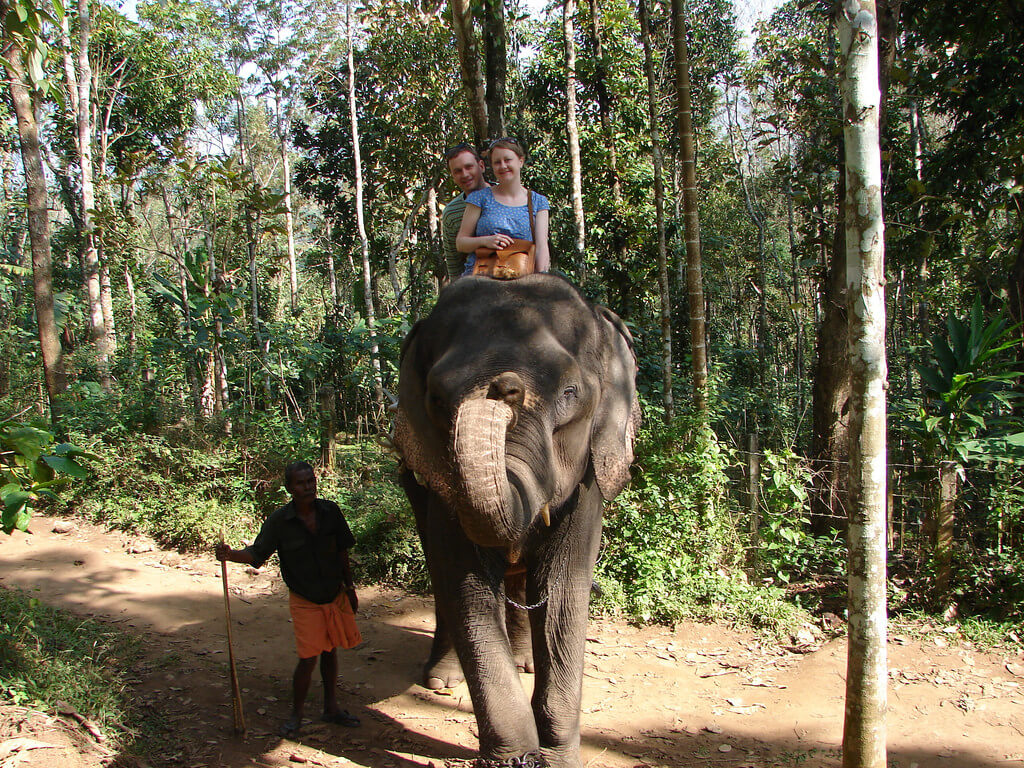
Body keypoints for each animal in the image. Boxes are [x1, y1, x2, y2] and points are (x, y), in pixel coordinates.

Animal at [393, 274, 640, 768]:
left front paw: (558, 758)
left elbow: (564, 590)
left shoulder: (587, 481)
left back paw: (525, 661)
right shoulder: (440, 482)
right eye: (437, 398)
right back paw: (441, 680)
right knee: (440, 575)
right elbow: (466, 586)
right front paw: (516, 757)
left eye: (570, 393)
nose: (502, 387)